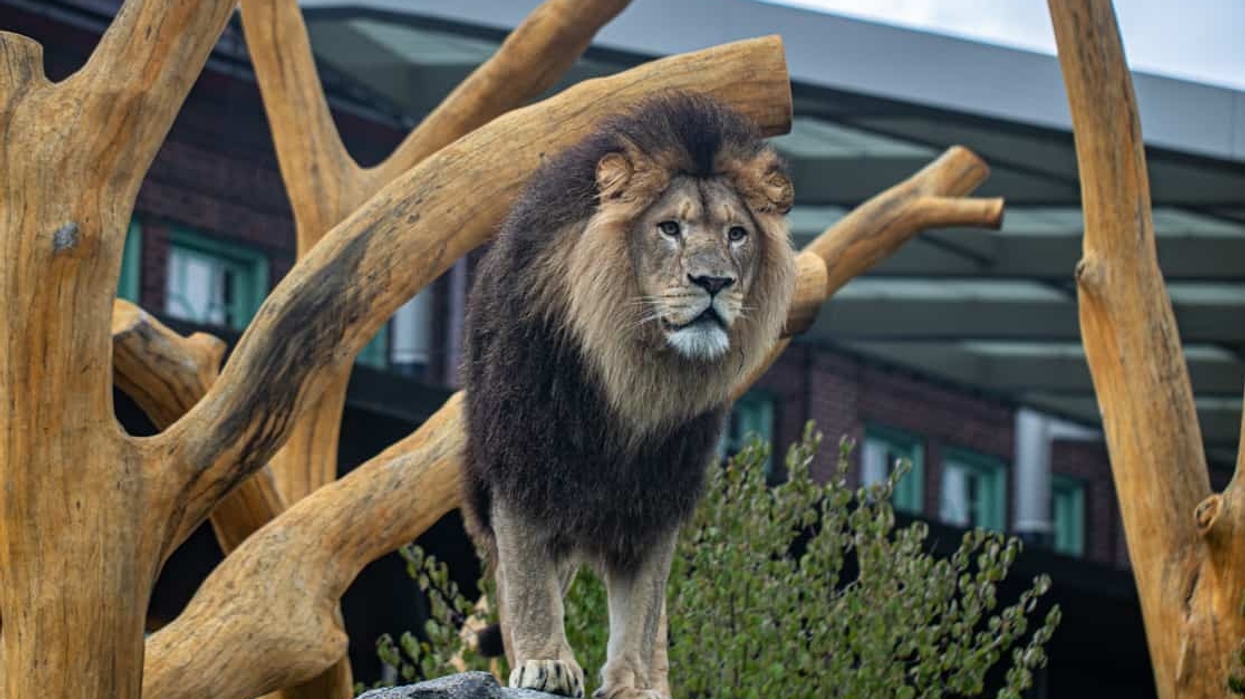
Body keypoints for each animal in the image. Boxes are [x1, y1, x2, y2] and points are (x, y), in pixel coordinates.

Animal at [461, 92, 796, 699]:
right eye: (669, 228)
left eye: (737, 234)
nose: (714, 282)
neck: (637, 374)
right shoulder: (522, 462)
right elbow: (529, 585)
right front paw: (547, 663)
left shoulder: (659, 489)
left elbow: (642, 608)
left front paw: (636, 684)